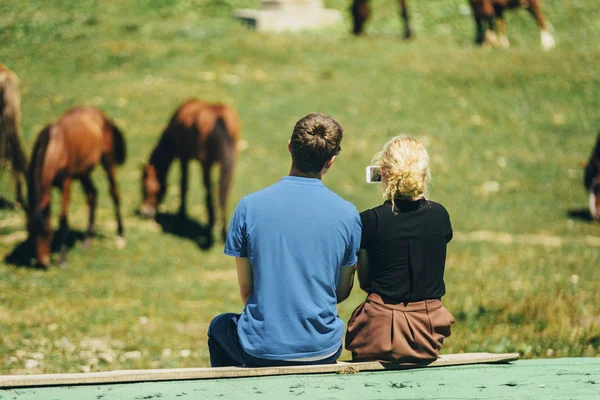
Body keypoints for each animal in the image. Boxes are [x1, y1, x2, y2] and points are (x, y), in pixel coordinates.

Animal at [28, 106, 127, 268]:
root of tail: (101, 114)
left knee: (114, 193)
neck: (56, 147)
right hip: (83, 173)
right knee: (92, 195)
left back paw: (120, 235)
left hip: (107, 162)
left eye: (47, 232)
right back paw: (87, 240)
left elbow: (63, 219)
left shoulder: (66, 183)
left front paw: (62, 259)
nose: (42, 262)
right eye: (30, 231)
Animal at [141, 99, 241, 242]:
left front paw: (181, 215)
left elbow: (184, 184)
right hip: (230, 164)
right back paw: (223, 232)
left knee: (209, 192)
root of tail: (220, 118)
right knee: (224, 194)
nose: (145, 213)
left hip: (206, 165)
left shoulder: (183, 157)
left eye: (145, 187)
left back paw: (209, 229)